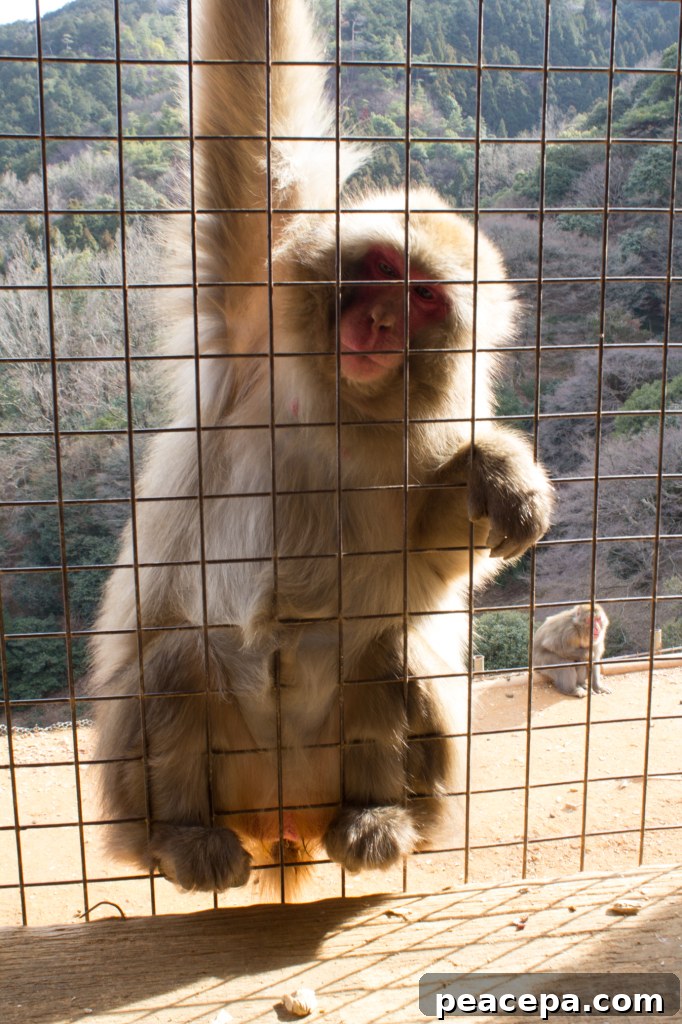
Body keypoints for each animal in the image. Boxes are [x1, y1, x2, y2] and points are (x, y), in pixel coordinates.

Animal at [90, 0, 554, 894]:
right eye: (376, 268)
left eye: (423, 297)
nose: (375, 322)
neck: (346, 402)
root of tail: (282, 823)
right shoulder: (257, 309)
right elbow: (253, 107)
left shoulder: (428, 428)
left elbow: (435, 559)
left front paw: (497, 471)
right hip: (186, 782)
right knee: (178, 661)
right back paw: (178, 837)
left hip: (327, 767)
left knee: (392, 649)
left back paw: (383, 819)